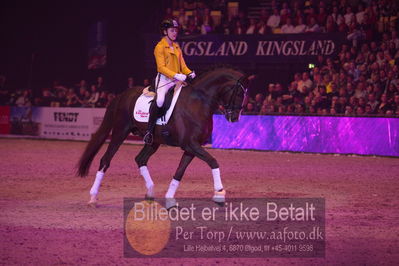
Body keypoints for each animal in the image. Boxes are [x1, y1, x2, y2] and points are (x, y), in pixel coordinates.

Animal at [77, 66, 250, 208]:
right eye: (239, 92)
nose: (235, 118)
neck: (198, 102)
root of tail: (121, 95)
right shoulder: (191, 144)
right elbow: (213, 162)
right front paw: (219, 193)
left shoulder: (191, 148)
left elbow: (179, 172)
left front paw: (169, 200)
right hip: (120, 132)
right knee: (105, 160)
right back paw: (93, 198)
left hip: (153, 142)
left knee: (140, 159)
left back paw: (150, 194)